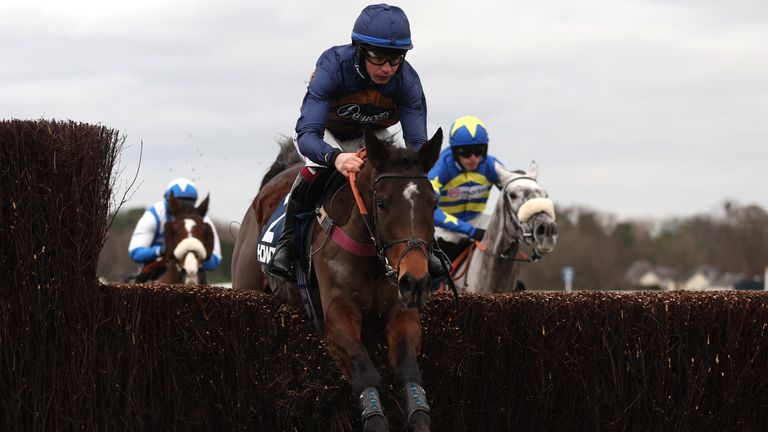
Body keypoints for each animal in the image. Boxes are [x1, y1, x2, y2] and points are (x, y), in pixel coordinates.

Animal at [231, 130, 440, 432]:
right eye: (381, 203)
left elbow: (409, 368)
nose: (415, 280)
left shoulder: (401, 311)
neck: (371, 253)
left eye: (434, 204)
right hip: (244, 287)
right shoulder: (338, 315)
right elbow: (364, 369)